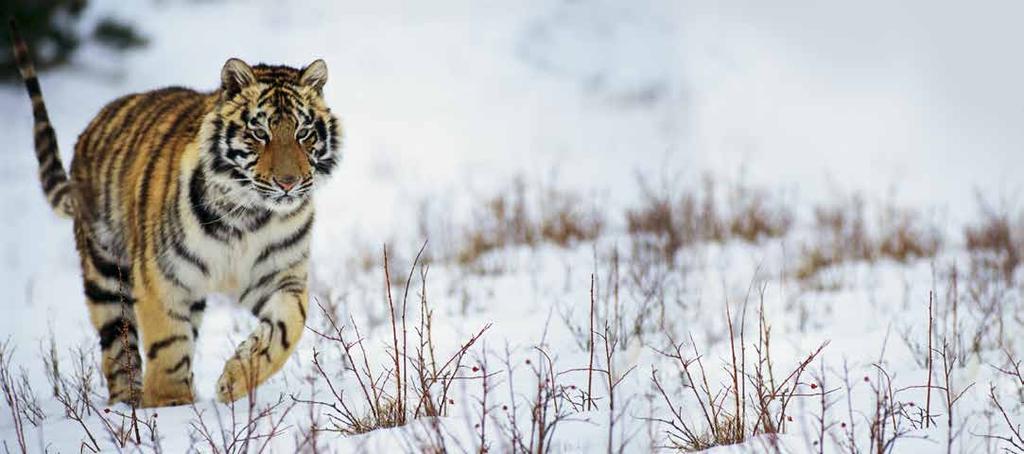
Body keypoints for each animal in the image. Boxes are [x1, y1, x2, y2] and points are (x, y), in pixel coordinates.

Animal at [8, 19, 342, 407]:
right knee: (118, 350)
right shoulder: (163, 275)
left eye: (304, 133)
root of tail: (91, 128)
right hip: (106, 273)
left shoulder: (279, 276)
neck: (249, 216)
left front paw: (234, 381)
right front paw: (172, 406)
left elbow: (288, 327)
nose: (288, 183)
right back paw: (128, 405)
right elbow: (168, 344)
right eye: (259, 133)